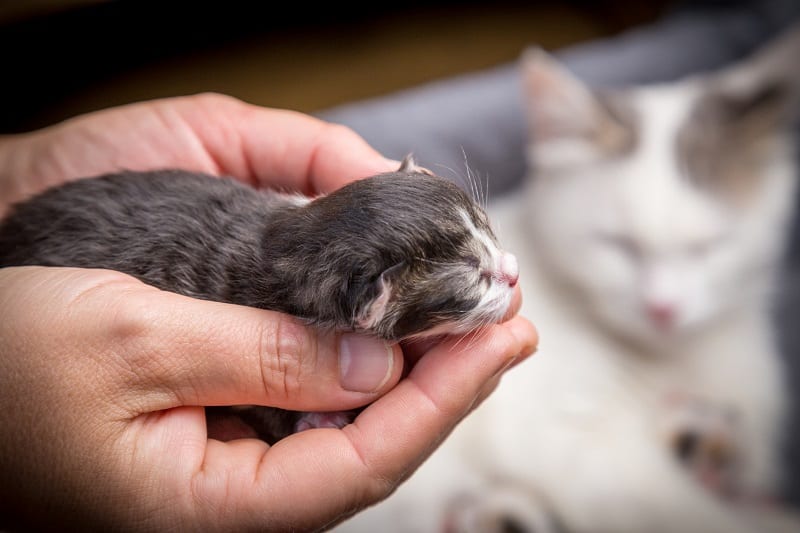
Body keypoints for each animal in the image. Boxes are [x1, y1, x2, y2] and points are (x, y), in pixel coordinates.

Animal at [0, 156, 520, 442]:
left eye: (488, 230)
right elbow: (256, 403)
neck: (289, 247)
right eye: (474, 278)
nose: (513, 273)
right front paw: (318, 418)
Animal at [340, 25, 800, 532]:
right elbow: (690, 510)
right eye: (618, 244)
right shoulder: (576, 444)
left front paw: (706, 445)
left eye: (709, 246)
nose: (662, 310)